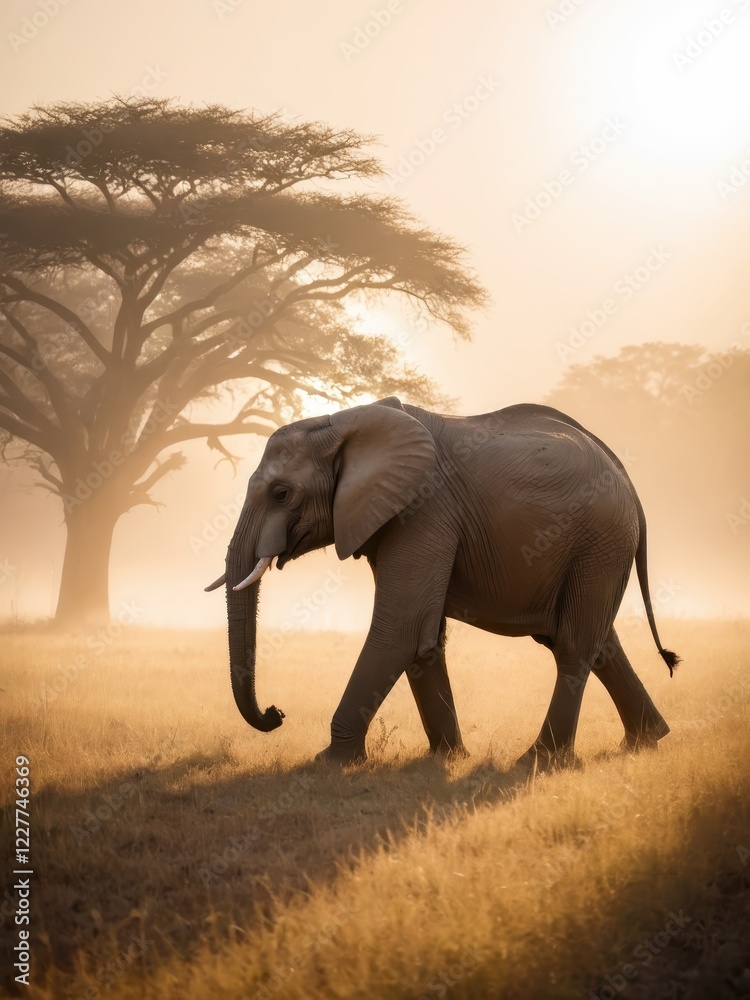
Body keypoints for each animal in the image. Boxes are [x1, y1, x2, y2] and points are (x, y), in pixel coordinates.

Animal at [206, 396, 678, 768]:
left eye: (282, 493)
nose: (276, 713)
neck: (343, 421)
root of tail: (625, 475)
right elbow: (424, 637)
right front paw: (446, 758)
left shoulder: (424, 510)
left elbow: (399, 629)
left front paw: (330, 762)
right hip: (599, 548)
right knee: (598, 643)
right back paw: (646, 742)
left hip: (599, 542)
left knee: (573, 645)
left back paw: (539, 761)